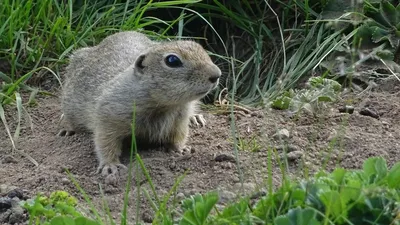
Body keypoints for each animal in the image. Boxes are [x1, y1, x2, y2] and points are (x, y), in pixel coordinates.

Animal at [58, 30, 222, 184]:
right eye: (172, 60)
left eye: (202, 49)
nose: (217, 75)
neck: (164, 105)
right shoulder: (109, 115)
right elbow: (105, 142)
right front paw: (110, 165)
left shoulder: (180, 118)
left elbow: (179, 135)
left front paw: (182, 149)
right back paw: (67, 128)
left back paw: (196, 118)